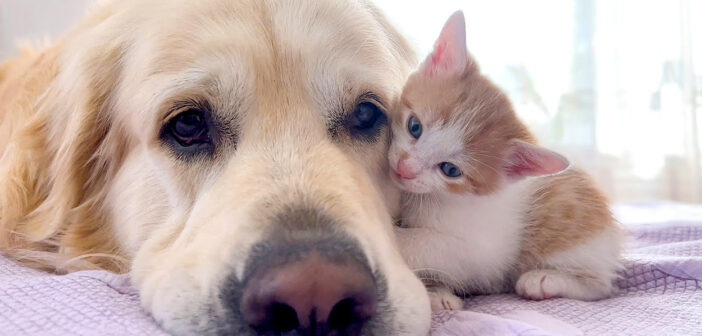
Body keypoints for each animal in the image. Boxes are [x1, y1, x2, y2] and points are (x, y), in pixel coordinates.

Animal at [390, 11, 628, 312]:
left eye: (450, 170)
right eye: (414, 126)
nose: (404, 168)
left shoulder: (480, 252)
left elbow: (429, 245)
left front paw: (392, 239)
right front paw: (437, 293)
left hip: (575, 241)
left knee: (601, 287)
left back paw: (544, 280)